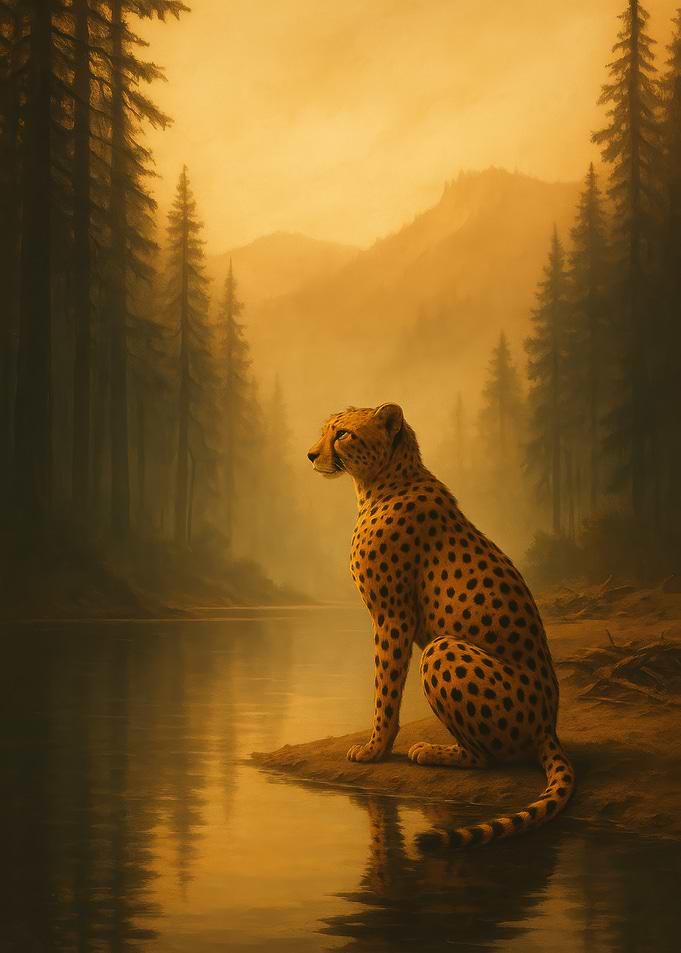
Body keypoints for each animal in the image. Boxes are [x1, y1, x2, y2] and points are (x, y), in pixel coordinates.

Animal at [307, 402, 575, 848]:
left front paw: (374, 749)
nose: (311, 454)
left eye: (342, 434)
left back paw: (433, 751)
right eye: (325, 429)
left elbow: (385, 689)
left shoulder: (392, 616)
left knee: (487, 758)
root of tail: (549, 725)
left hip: (442, 649)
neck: (383, 482)